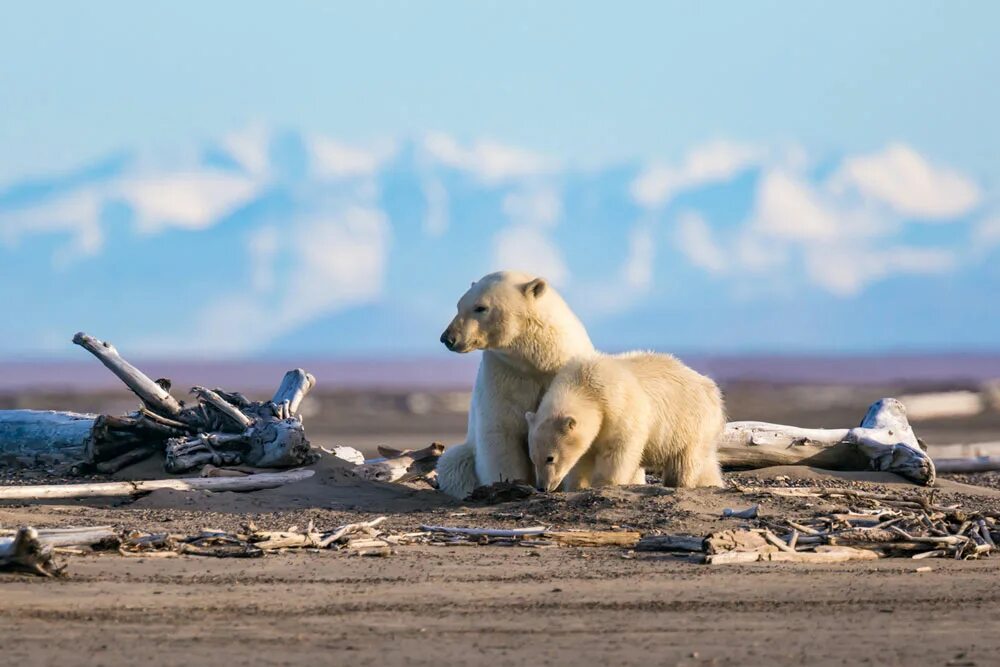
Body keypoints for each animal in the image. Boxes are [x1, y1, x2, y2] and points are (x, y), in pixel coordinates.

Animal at [436, 272, 596, 500]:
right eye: (459, 305)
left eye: (480, 307)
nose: (448, 338)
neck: (538, 360)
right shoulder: (503, 374)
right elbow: (501, 432)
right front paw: (509, 484)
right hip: (465, 454)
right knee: (454, 463)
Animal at [524, 352, 728, 494]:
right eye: (533, 458)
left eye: (550, 458)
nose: (542, 487)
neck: (585, 386)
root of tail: (711, 388)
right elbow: (583, 456)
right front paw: (577, 485)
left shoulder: (618, 407)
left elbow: (618, 449)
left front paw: (605, 483)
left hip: (690, 422)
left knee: (685, 461)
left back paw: (679, 483)